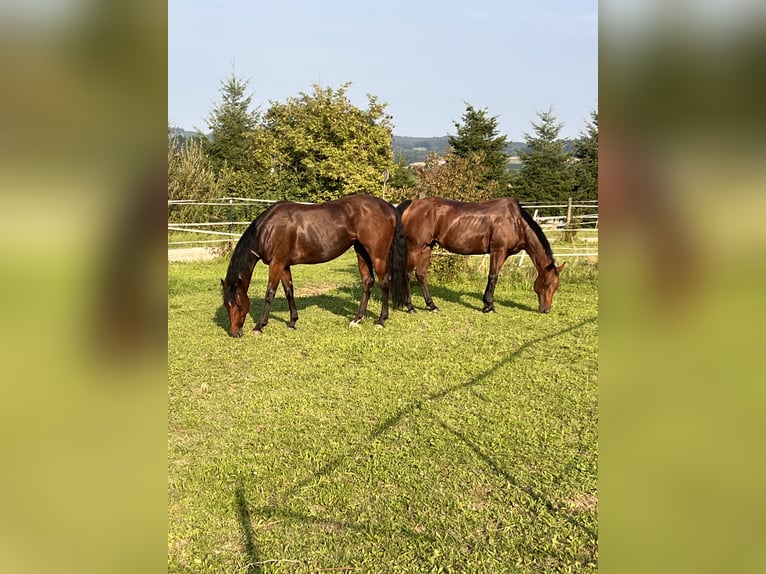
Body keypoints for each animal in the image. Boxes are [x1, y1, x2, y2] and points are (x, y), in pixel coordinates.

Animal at [221, 194, 408, 337]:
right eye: (226, 305)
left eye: (238, 304)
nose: (235, 333)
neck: (269, 229)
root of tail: (388, 207)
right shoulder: (284, 265)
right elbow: (289, 291)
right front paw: (292, 322)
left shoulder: (276, 263)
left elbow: (270, 293)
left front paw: (259, 326)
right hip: (361, 251)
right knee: (368, 282)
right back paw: (357, 319)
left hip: (377, 255)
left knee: (384, 282)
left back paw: (381, 320)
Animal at [396, 197, 565, 314]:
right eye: (546, 284)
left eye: (557, 286)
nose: (546, 310)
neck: (515, 221)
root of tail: (412, 204)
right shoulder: (498, 250)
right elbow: (493, 277)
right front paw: (489, 306)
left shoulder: (504, 254)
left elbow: (494, 276)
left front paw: (486, 303)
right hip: (415, 248)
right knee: (407, 274)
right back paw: (410, 307)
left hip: (426, 247)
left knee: (421, 274)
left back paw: (432, 306)